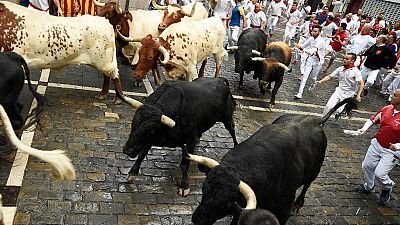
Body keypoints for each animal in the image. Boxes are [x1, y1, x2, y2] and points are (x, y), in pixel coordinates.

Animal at [188, 99, 356, 225]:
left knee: (307, 184)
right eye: (204, 189)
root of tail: (314, 120)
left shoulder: (283, 211)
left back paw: (299, 204)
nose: (197, 219)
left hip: (315, 171)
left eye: (225, 202)